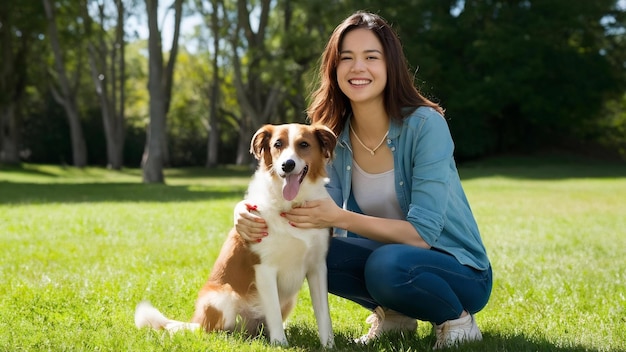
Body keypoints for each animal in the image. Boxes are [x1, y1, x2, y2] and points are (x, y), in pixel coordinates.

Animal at [133, 123, 334, 346]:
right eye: (277, 144)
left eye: (304, 144)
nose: (287, 165)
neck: (290, 205)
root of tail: (197, 323)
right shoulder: (265, 269)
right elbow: (273, 312)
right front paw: (280, 344)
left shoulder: (318, 268)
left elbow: (324, 315)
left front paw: (328, 345)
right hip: (222, 298)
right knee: (216, 331)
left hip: (288, 300)